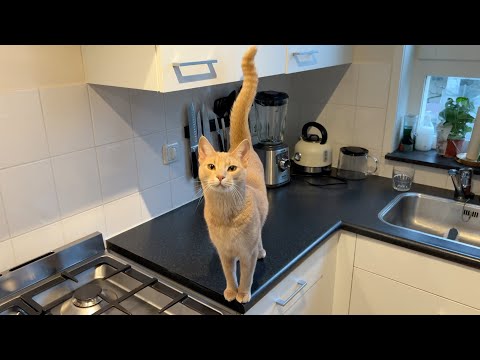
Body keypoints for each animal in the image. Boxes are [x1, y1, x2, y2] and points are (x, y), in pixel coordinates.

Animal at [197, 45, 268, 304]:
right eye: (211, 167)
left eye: (231, 168)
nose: (220, 177)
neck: (226, 214)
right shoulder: (224, 253)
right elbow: (229, 273)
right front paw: (230, 290)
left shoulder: (246, 253)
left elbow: (247, 275)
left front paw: (243, 294)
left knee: (260, 238)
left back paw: (262, 250)